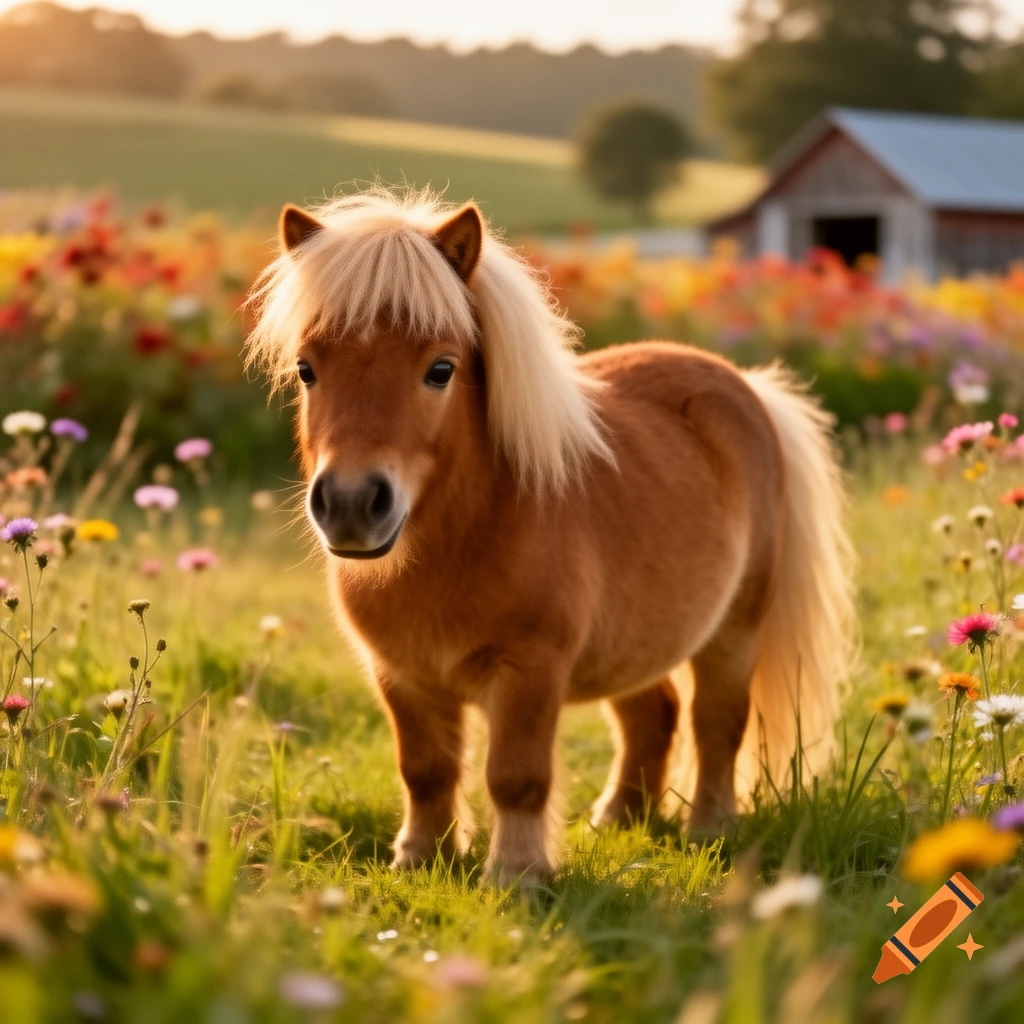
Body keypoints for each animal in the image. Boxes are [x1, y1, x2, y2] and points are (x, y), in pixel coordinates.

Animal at [246, 189, 856, 884]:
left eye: (440, 370)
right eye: (306, 369)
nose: (351, 504)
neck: (464, 541)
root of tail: (745, 386)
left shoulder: (529, 670)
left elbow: (516, 776)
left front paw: (517, 875)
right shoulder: (401, 675)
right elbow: (425, 770)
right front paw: (420, 859)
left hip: (735, 629)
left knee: (716, 723)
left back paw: (710, 828)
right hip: (638, 638)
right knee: (654, 715)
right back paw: (617, 819)